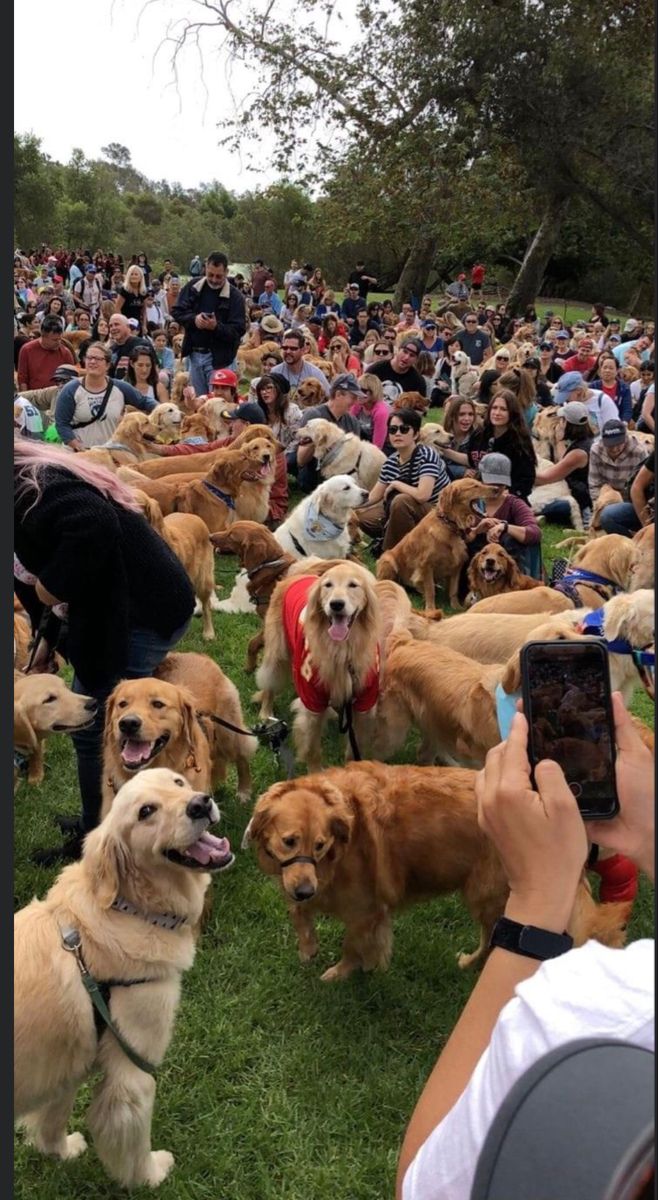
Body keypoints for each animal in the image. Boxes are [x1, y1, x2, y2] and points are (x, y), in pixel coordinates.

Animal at [14, 768, 234, 1190]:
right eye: (146, 811)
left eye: (178, 782)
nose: (201, 803)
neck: (129, 908)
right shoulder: (134, 1072)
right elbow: (134, 1144)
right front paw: (151, 1175)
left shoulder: (68, 1065)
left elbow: (53, 1119)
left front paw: (61, 1150)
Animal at [102, 657, 256, 816]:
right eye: (122, 704)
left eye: (158, 704)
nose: (128, 723)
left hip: (228, 734)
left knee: (242, 758)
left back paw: (244, 791)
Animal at [244, 763, 629, 979]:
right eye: (289, 842)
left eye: (320, 845)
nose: (304, 890)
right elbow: (298, 911)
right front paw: (308, 946)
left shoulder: (364, 910)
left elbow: (352, 945)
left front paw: (345, 971)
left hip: (484, 895)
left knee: (492, 939)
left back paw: (470, 963)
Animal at [377, 477, 501, 609]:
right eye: (474, 486)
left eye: (480, 483)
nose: (497, 489)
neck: (449, 525)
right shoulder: (426, 565)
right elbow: (430, 589)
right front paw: (430, 608)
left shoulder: (457, 565)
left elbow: (453, 589)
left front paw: (456, 607)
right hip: (387, 560)